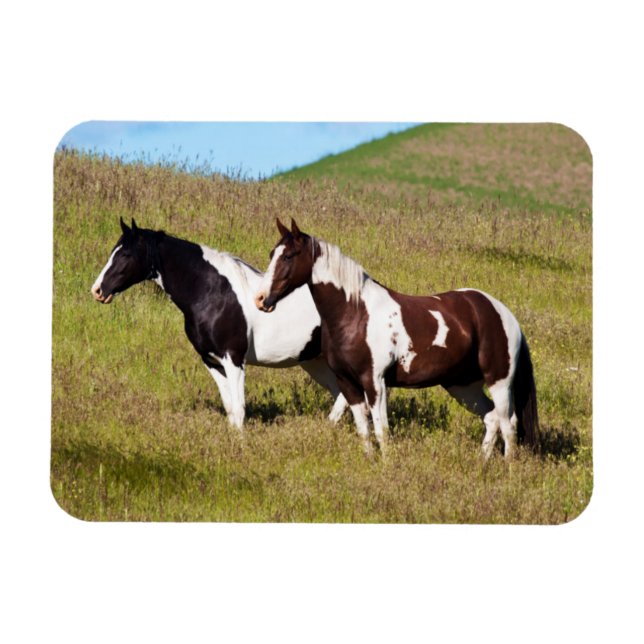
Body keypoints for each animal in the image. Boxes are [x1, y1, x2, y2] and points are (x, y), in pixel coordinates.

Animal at [91, 218, 348, 429]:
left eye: (125, 255)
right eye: (114, 251)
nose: (98, 290)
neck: (212, 293)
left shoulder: (234, 358)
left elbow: (240, 409)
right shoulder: (211, 360)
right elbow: (231, 409)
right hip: (314, 361)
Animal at [255, 218, 539, 458]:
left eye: (289, 256)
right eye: (272, 254)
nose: (261, 299)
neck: (355, 313)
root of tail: (503, 314)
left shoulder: (375, 382)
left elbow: (382, 430)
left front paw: (387, 465)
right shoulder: (347, 383)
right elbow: (363, 429)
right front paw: (370, 461)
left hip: (499, 381)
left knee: (509, 423)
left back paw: (508, 467)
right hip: (462, 385)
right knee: (492, 418)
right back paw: (482, 463)